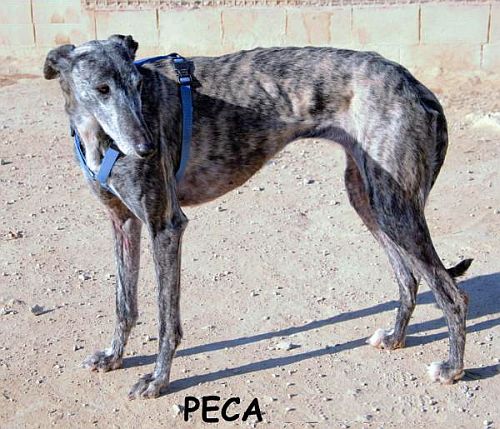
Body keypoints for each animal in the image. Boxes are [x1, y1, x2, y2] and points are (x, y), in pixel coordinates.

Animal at [43, 35, 472, 399]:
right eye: (102, 89)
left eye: (136, 85)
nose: (147, 149)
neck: (98, 136)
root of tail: (415, 84)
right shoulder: (124, 223)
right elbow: (124, 303)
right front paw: (113, 356)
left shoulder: (165, 225)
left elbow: (167, 318)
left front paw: (157, 379)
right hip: (368, 198)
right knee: (409, 277)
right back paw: (396, 337)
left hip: (394, 205)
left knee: (452, 292)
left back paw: (452, 368)